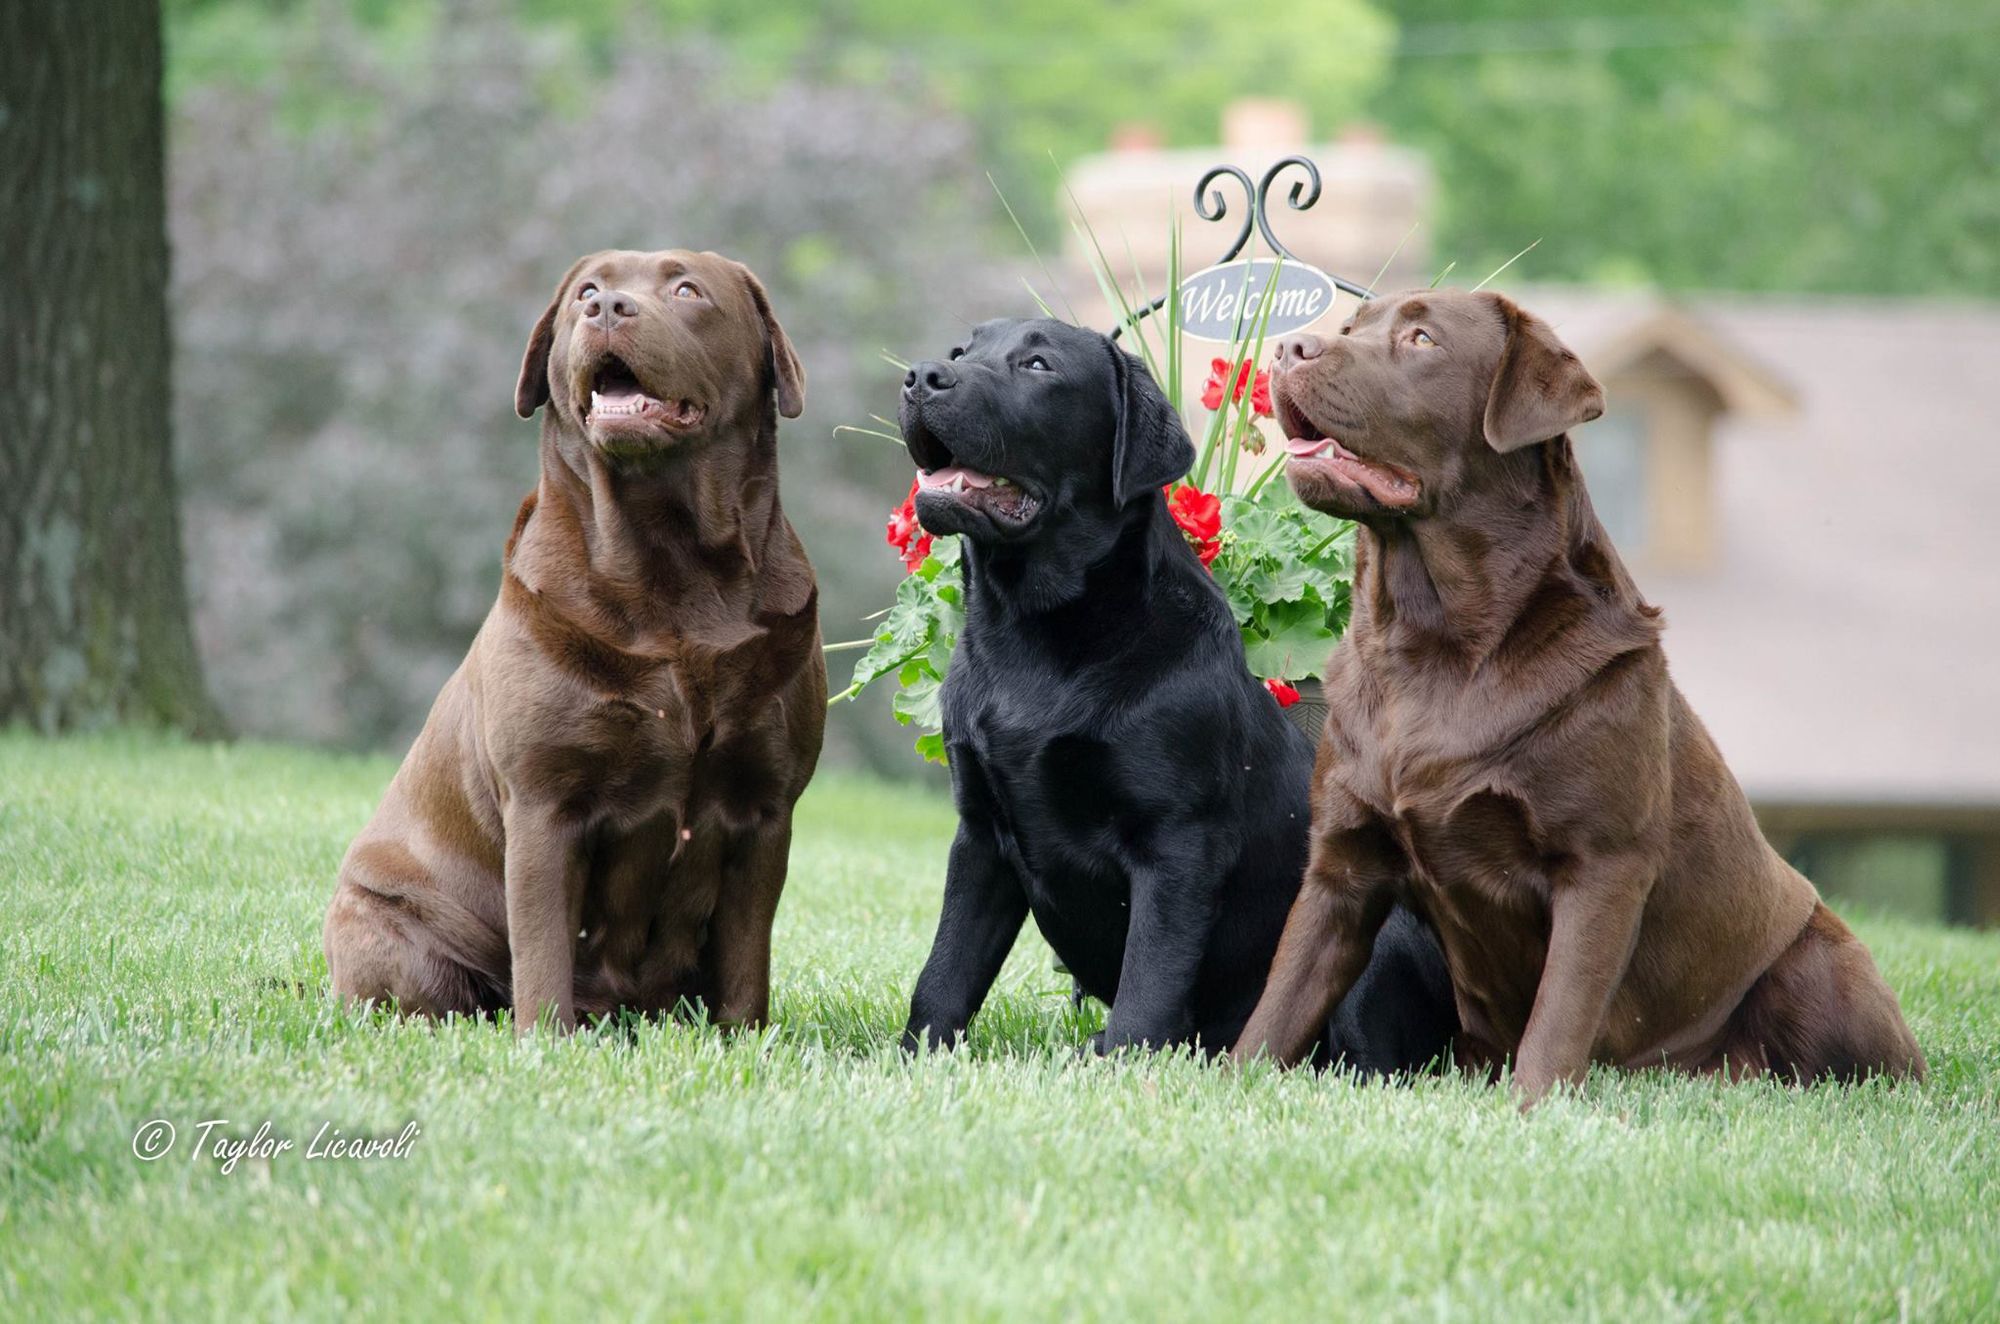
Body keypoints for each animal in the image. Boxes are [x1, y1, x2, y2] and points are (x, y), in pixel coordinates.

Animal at [324, 252, 824, 1040]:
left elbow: (748, 961)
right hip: (392, 931)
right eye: (587, 291)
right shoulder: (543, 804)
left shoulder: (766, 807)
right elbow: (543, 949)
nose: (608, 308)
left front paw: (743, 1042)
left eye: (687, 290)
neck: (670, 566)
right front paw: (544, 1044)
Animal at [904, 314, 1456, 1072]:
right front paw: (912, 1059)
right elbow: (943, 975)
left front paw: (1126, 1068)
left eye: (1038, 365)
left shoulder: (1177, 843)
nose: (921, 376)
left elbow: (1150, 983)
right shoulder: (981, 836)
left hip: (1376, 931)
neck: (1037, 635)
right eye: (962, 352)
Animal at [1232, 294, 1920, 1112]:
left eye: (1422, 339)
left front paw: (1532, 1111)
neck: (1432, 645)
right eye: (1349, 329)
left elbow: (1562, 1010)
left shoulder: (1602, 864)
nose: (1288, 348)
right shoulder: (1344, 862)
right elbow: (1279, 1001)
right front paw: (1222, 1082)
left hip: (1819, 967)